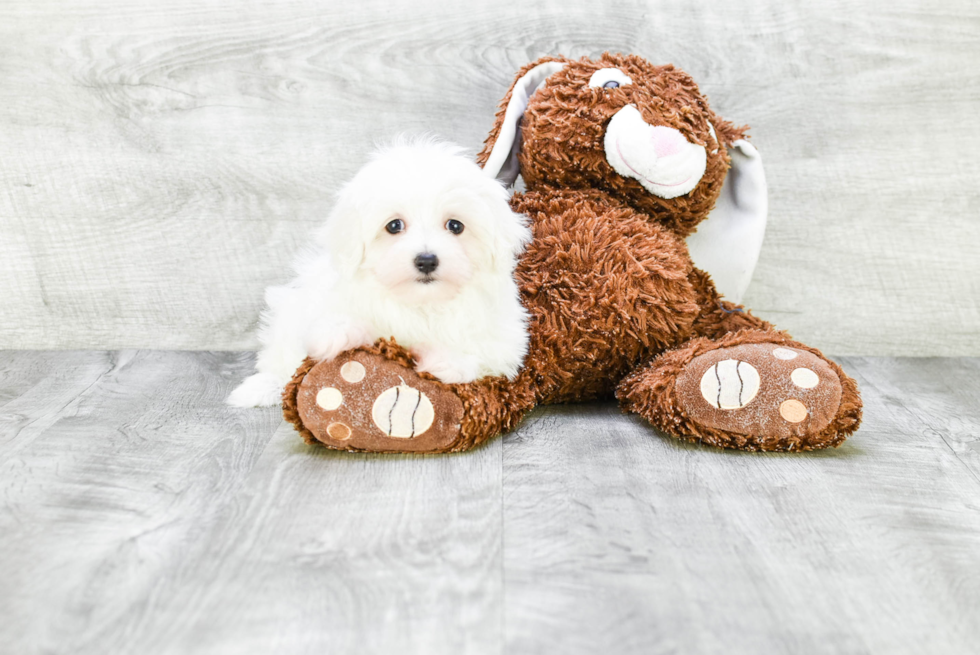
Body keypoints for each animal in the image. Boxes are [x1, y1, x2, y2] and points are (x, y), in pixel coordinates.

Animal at [227, 136, 532, 408]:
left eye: (455, 226)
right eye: (394, 226)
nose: (426, 260)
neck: (421, 302)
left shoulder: (506, 338)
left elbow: (483, 351)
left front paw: (447, 361)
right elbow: (326, 322)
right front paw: (339, 332)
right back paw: (259, 387)